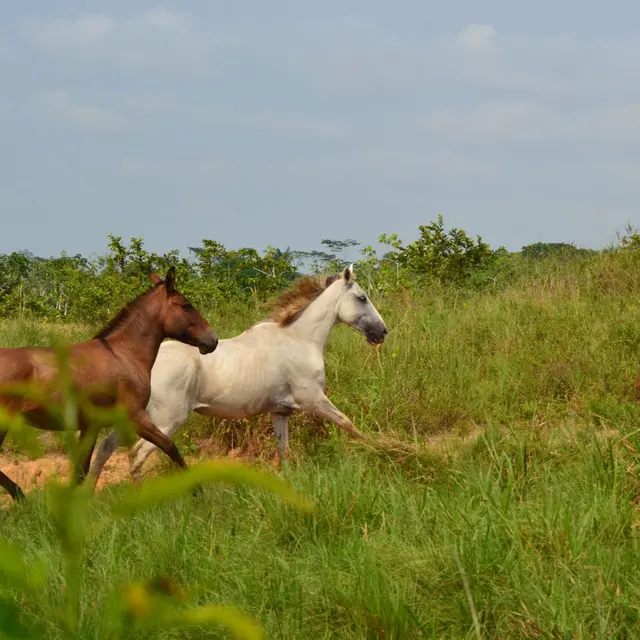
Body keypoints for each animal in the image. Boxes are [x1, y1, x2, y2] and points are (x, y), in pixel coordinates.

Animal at [0, 267, 218, 501]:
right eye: (186, 305)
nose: (212, 340)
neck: (123, 355)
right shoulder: (134, 417)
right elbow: (170, 446)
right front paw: (197, 491)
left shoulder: (91, 426)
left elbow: (81, 471)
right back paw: (20, 496)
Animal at [89, 264, 388, 483]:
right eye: (362, 298)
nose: (381, 332)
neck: (299, 340)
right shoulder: (314, 400)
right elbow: (350, 424)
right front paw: (377, 450)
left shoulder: (280, 412)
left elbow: (283, 451)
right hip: (164, 421)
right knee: (136, 455)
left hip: (135, 418)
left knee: (104, 450)